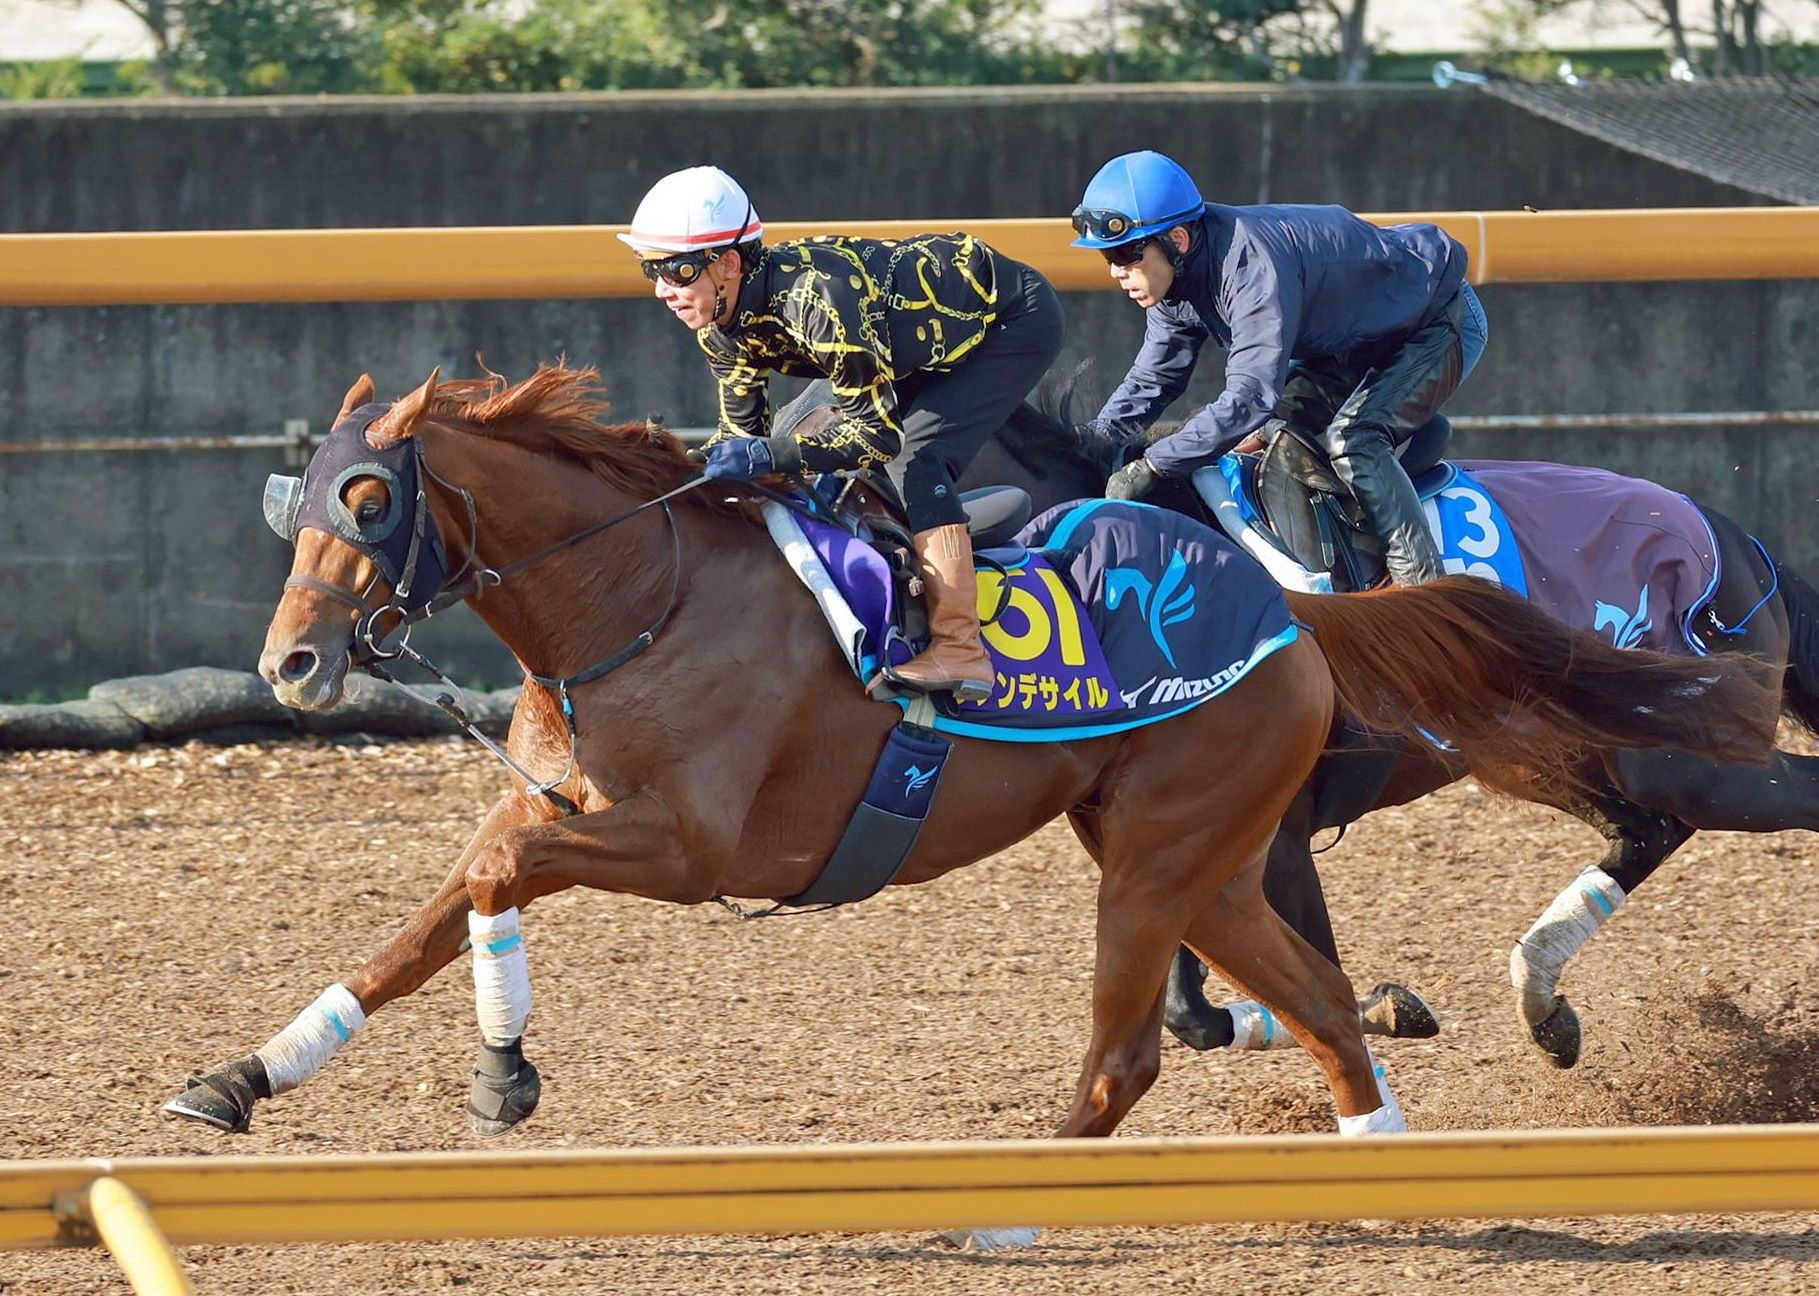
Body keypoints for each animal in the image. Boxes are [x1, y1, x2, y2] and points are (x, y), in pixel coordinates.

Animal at [165, 366, 1775, 1251]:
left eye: (370, 500)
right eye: (295, 498)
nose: (290, 663)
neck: (638, 597)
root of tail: (1298, 615)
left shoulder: (688, 846)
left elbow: (496, 867)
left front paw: (503, 1078)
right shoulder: (583, 805)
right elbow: (428, 916)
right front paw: (243, 1077)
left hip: (1157, 861)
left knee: (1130, 1055)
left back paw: (1012, 1204)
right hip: (1200, 856)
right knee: (1315, 998)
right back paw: (1384, 1166)